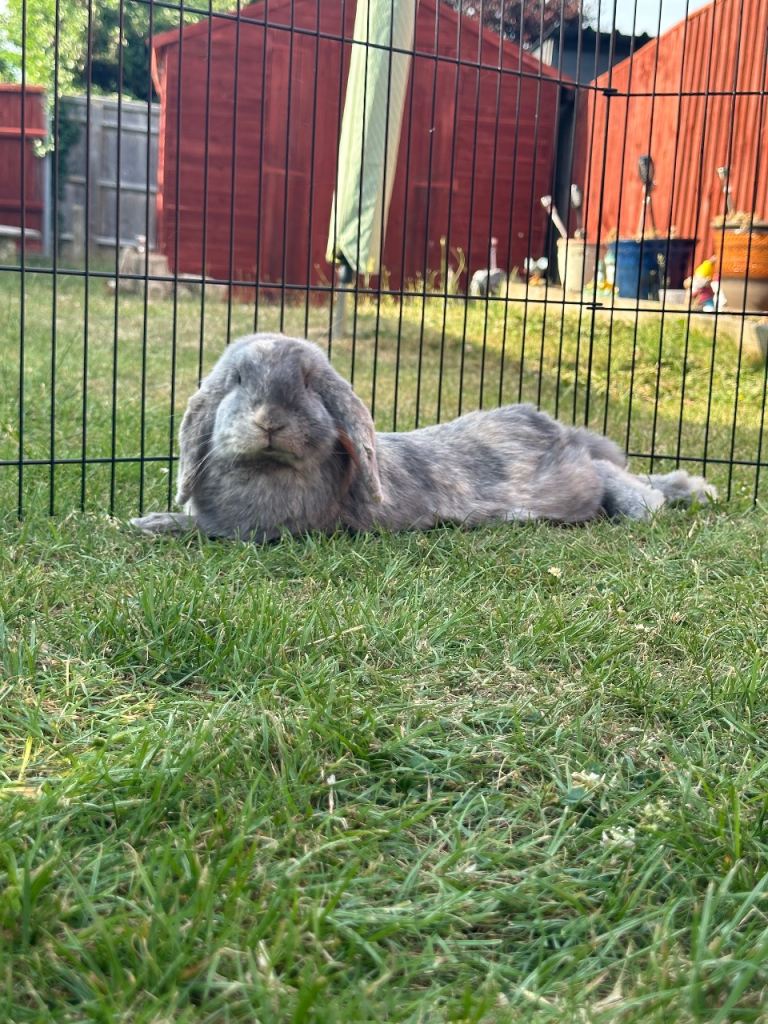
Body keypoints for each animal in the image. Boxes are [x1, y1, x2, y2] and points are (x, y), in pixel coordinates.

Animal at [131, 332, 716, 541]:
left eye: (310, 384)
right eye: (235, 380)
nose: (269, 419)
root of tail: (559, 429)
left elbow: (203, 532)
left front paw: (152, 525)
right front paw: (147, 520)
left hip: (580, 481)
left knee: (628, 484)